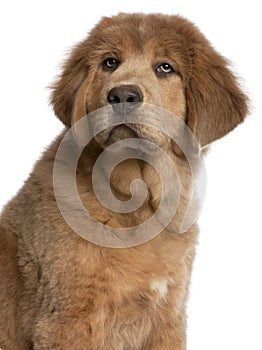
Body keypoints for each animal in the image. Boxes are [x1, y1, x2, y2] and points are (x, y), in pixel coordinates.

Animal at [0, 12, 248, 348]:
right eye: (110, 63)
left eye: (165, 67)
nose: (122, 95)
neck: (139, 203)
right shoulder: (67, 322)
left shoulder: (168, 319)